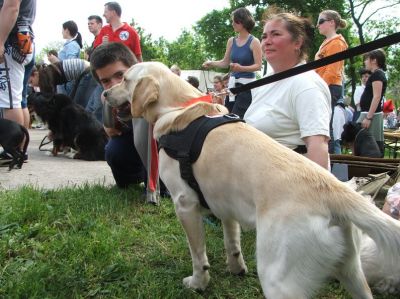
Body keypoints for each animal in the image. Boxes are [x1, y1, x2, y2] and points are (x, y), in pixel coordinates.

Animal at [104, 61, 400, 299]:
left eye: (125, 79)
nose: (105, 92)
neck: (178, 107)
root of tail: (334, 190)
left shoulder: (185, 203)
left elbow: (198, 255)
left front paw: (199, 283)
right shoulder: (225, 205)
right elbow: (232, 243)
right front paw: (236, 268)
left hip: (278, 281)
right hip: (353, 274)